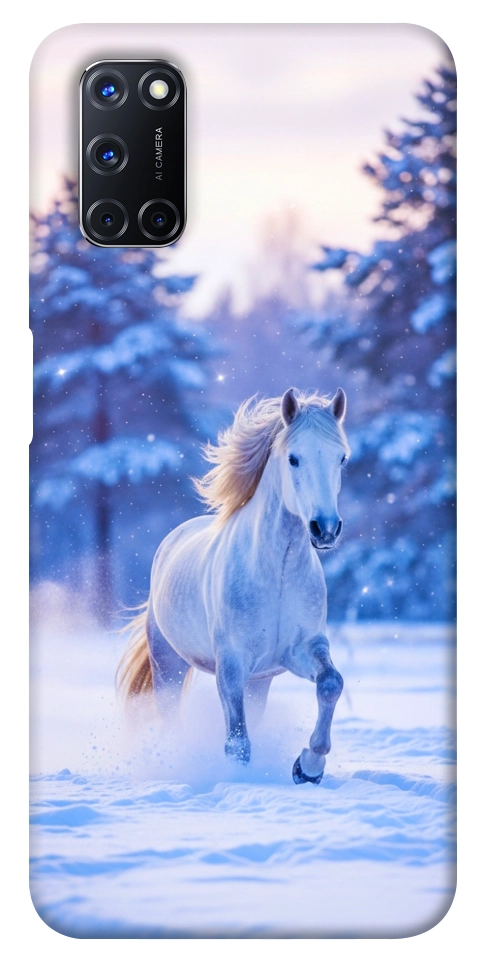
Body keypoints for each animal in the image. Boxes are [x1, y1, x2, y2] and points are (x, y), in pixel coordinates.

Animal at [118, 387, 350, 784]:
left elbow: (331, 683)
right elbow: (237, 742)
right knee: (170, 717)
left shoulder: (301, 649)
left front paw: (308, 767)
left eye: (341, 459)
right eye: (294, 458)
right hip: (168, 665)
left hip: (259, 682)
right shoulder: (231, 664)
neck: (277, 573)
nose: (325, 529)